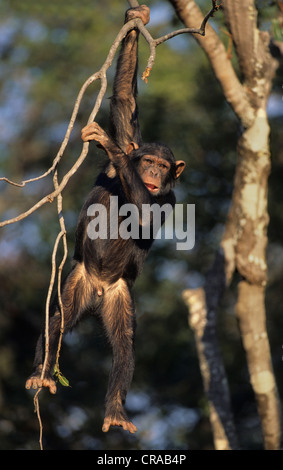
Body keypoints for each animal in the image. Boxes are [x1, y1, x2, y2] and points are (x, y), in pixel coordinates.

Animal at [25, 5, 185, 436]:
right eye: (148, 160)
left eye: (164, 166)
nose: (153, 172)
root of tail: (96, 293)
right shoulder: (132, 140)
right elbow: (126, 102)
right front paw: (136, 17)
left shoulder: (170, 199)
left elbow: (146, 212)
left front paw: (107, 144)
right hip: (76, 282)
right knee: (56, 320)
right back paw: (42, 373)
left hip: (118, 296)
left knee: (125, 348)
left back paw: (114, 410)